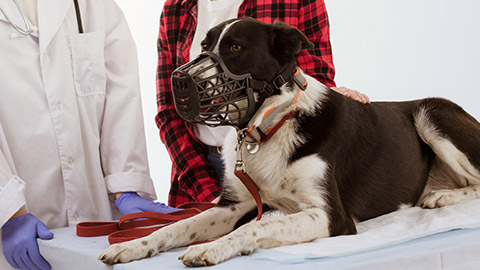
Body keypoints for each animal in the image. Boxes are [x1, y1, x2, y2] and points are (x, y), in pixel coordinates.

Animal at [99, 17, 480, 266]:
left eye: (235, 47)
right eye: (204, 46)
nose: (177, 82)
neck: (267, 127)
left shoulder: (331, 217)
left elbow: (256, 228)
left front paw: (212, 248)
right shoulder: (232, 206)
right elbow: (178, 226)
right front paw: (135, 244)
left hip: (432, 113)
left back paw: (443, 196)